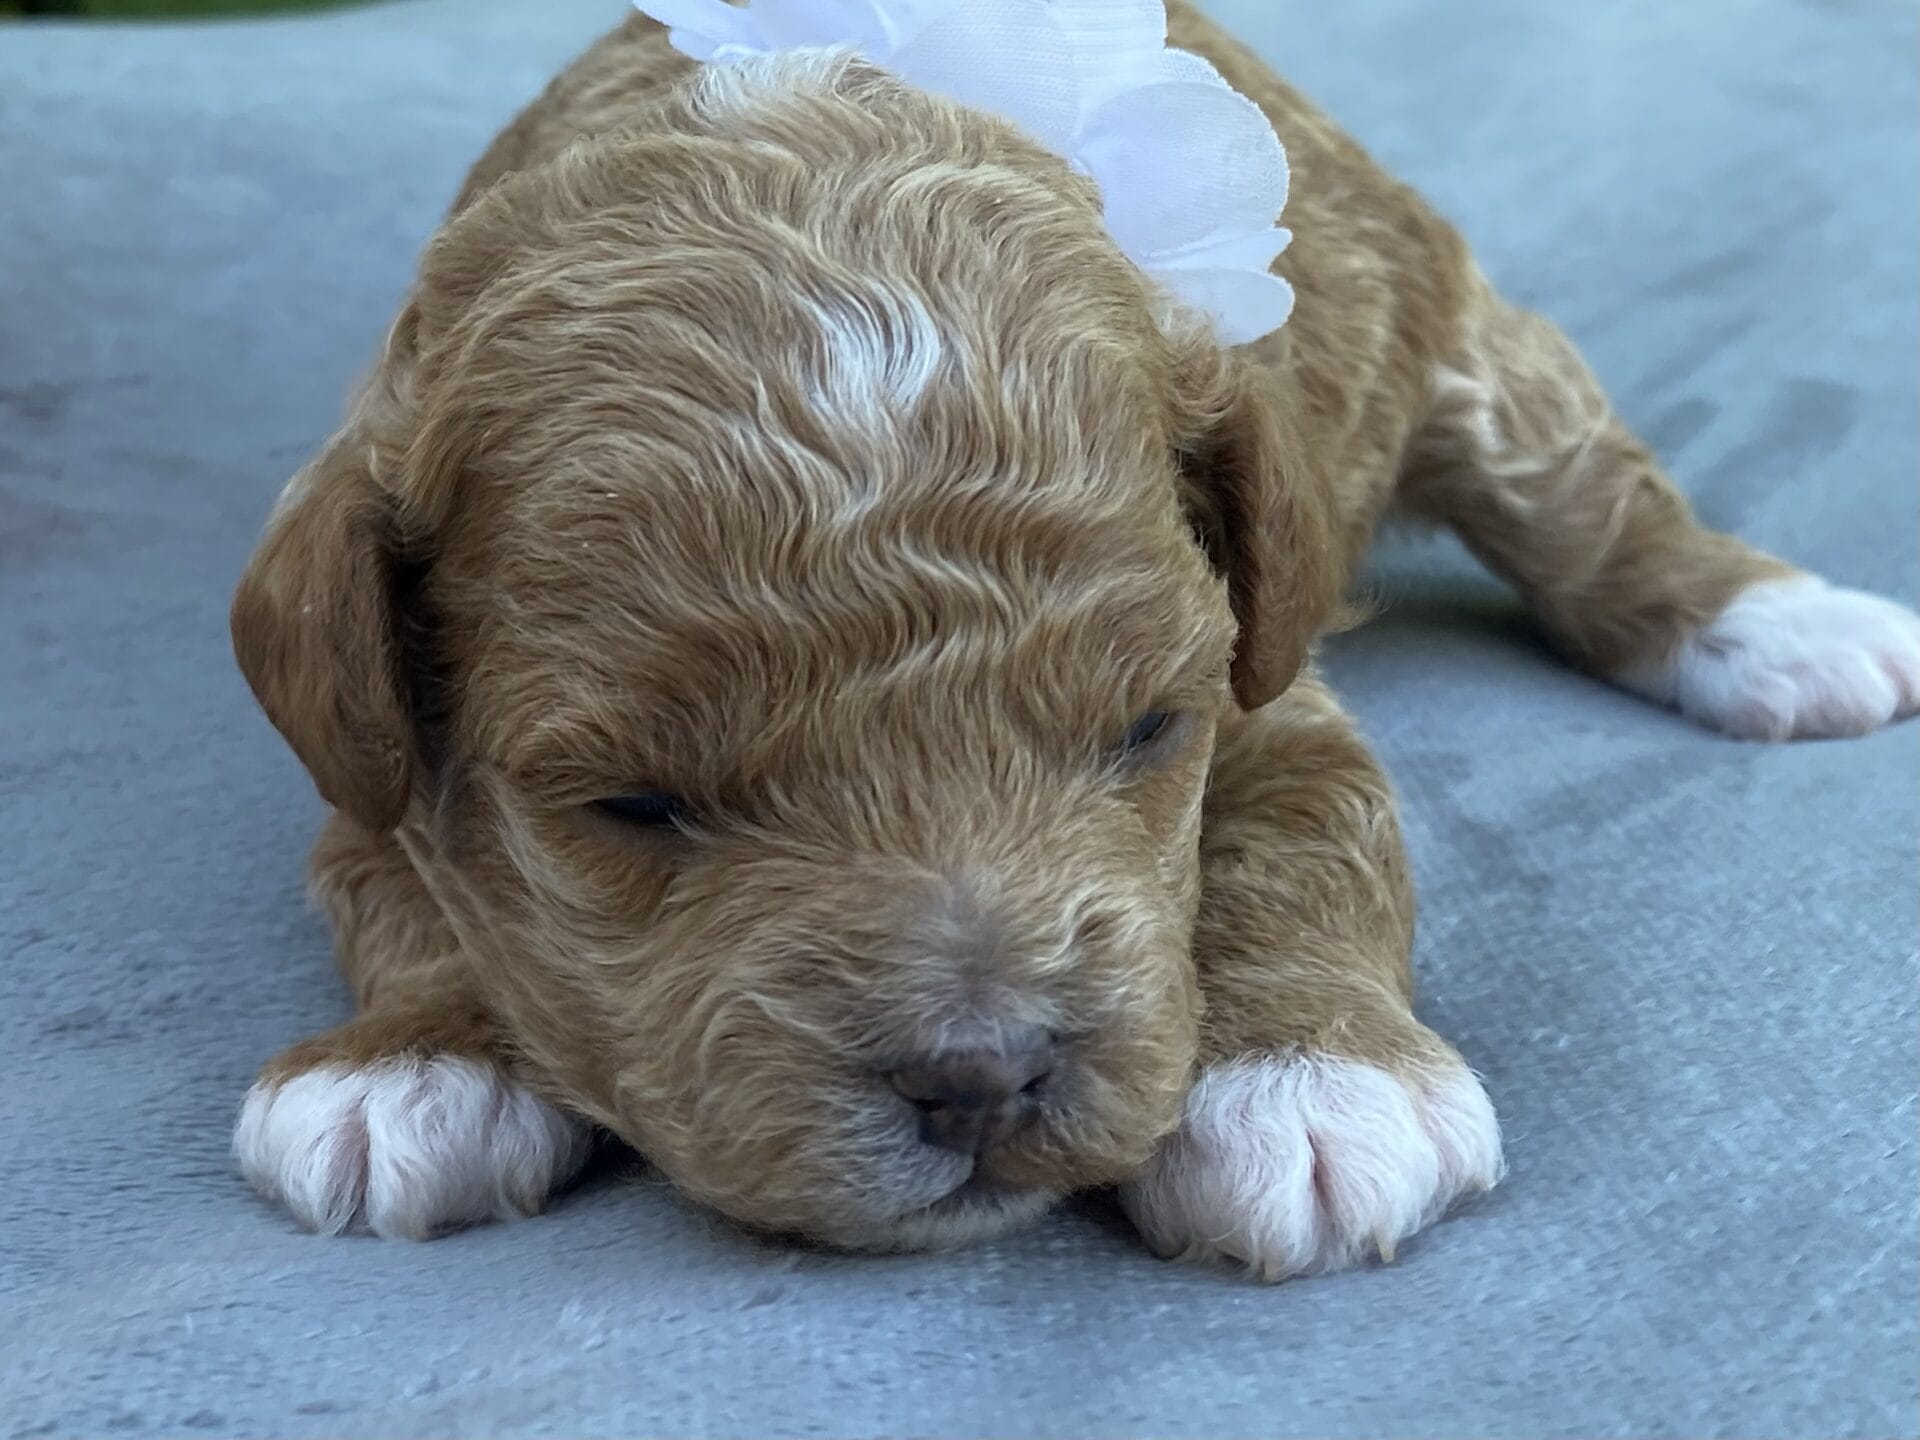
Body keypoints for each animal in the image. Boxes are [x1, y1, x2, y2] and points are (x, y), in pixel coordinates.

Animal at [228, 2, 1920, 1278]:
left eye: (1143, 732)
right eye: (629, 809)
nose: (981, 1079)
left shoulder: (1262, 683)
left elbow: (1310, 842)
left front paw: (1311, 1080)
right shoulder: (372, 763)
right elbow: (401, 896)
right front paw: (409, 1060)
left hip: (1449, 327)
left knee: (1579, 493)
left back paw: (1781, 627)